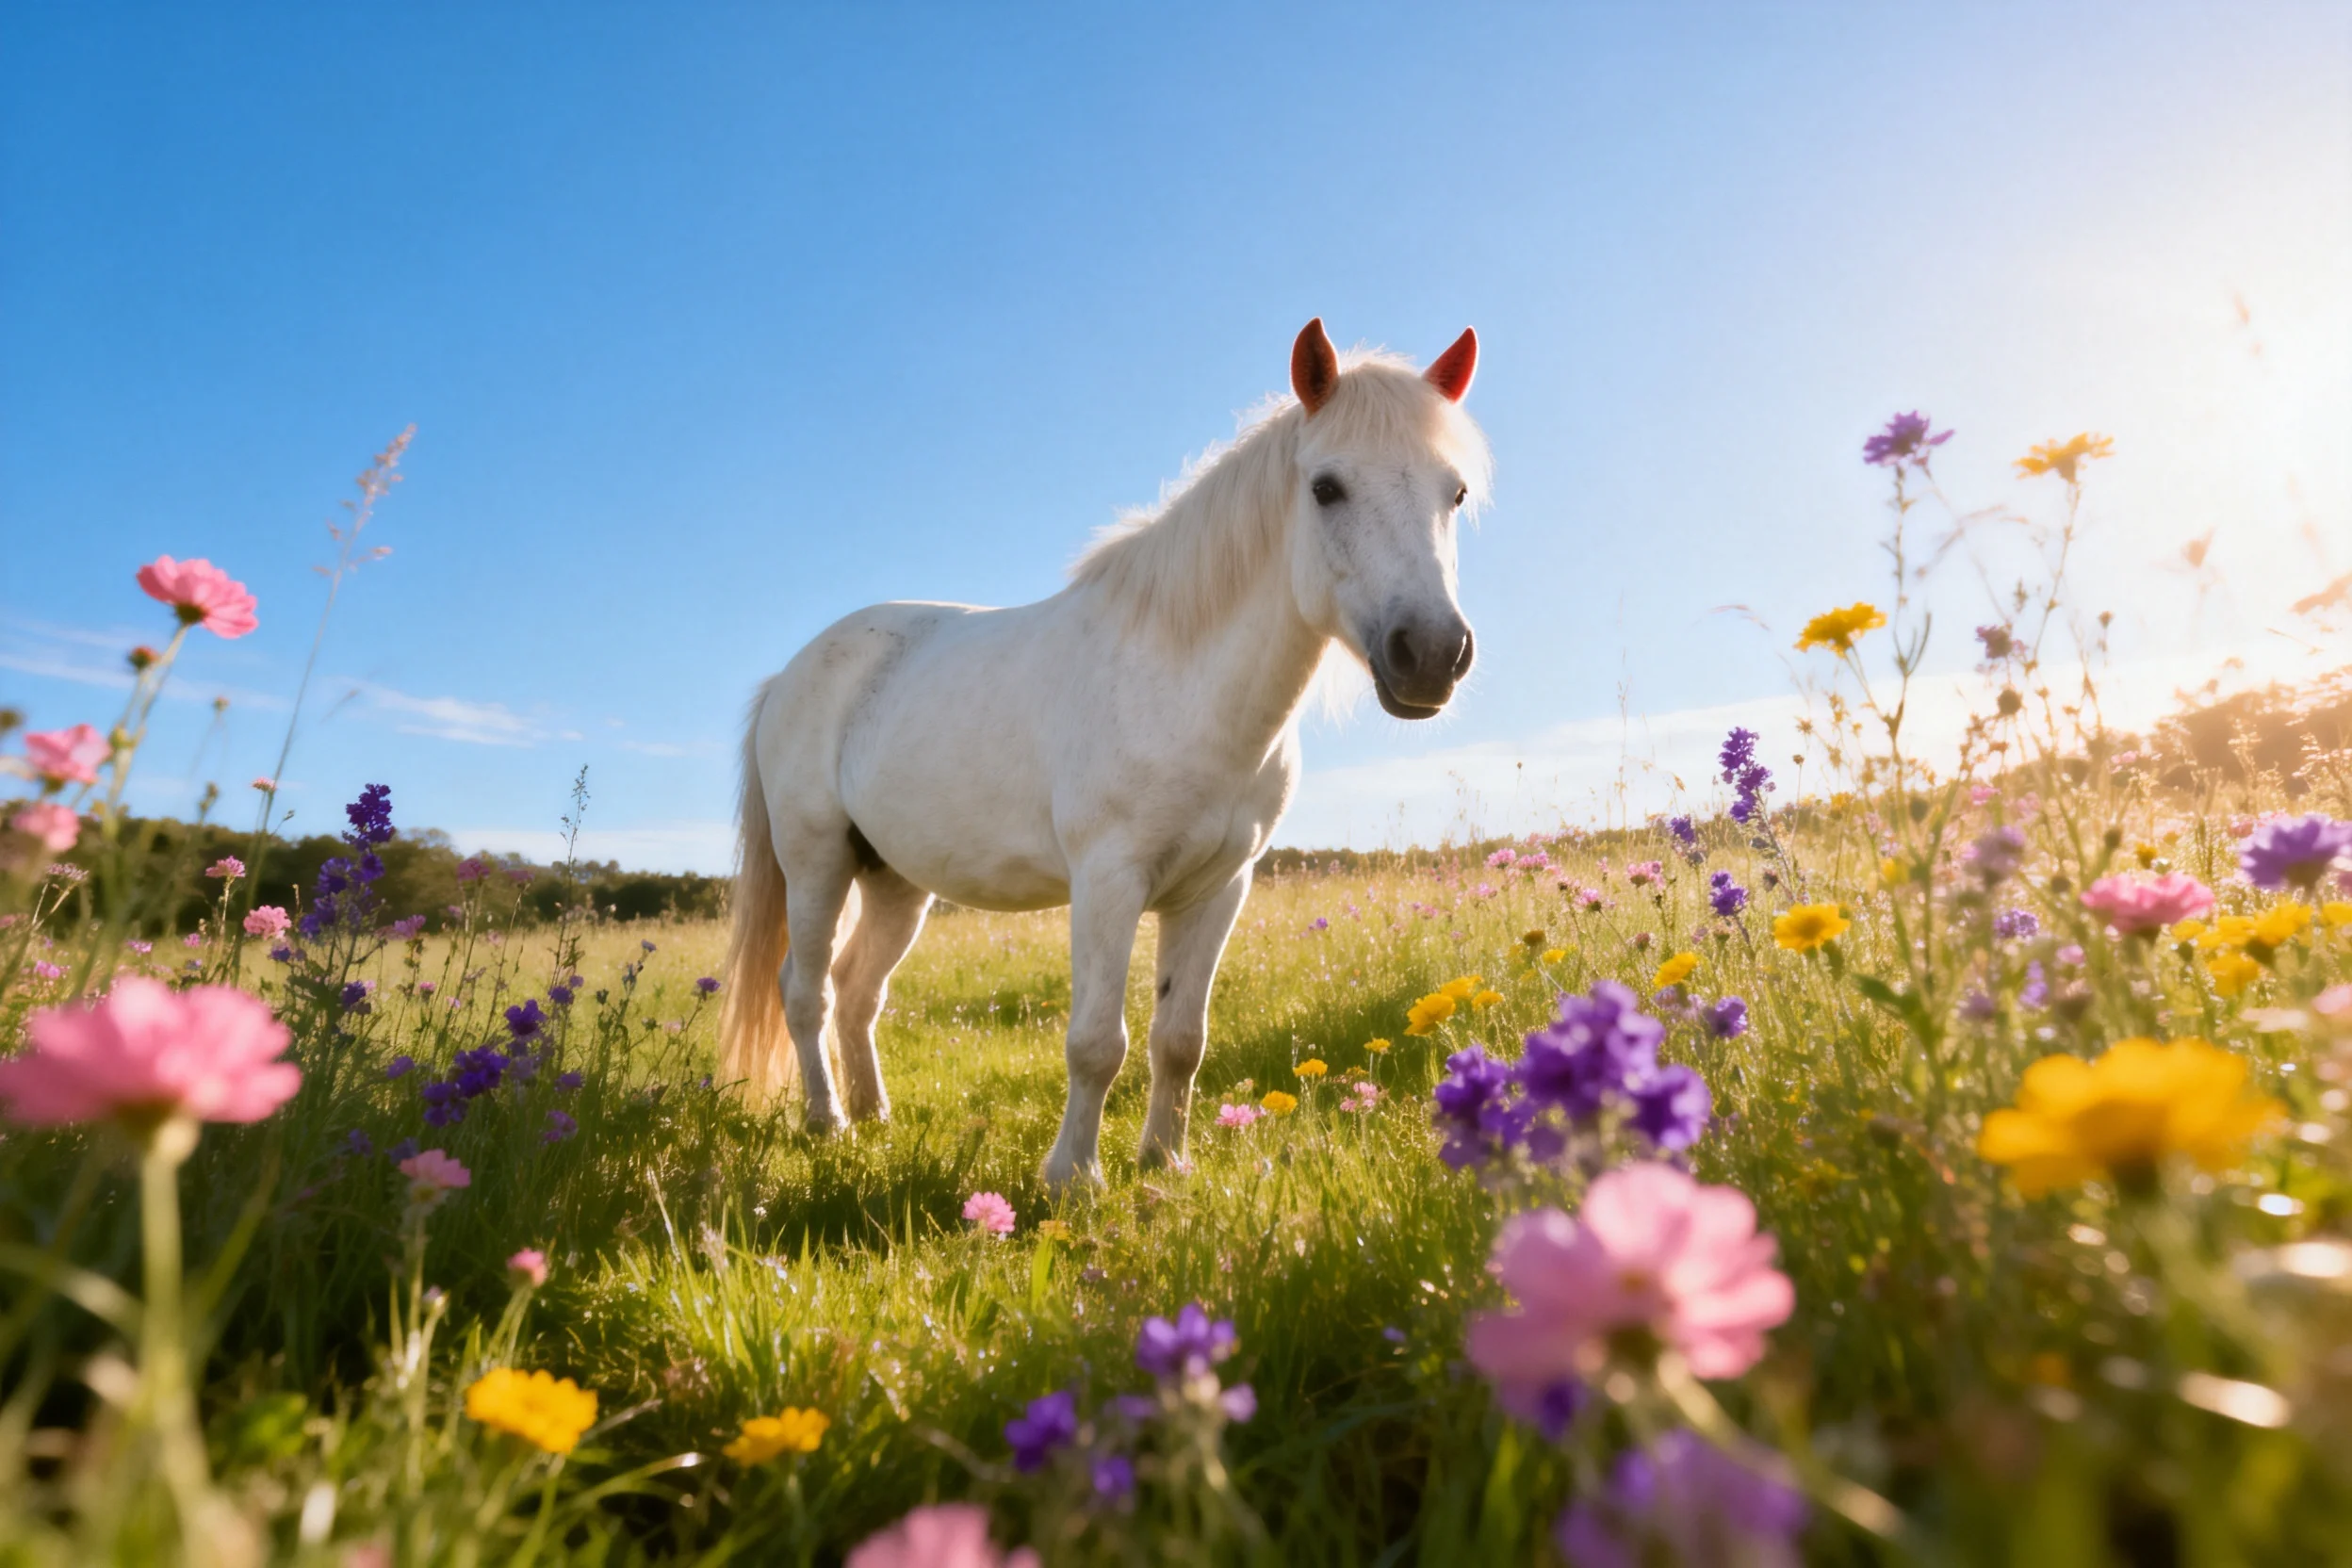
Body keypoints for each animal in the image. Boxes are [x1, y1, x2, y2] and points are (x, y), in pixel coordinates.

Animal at [719, 318, 1490, 1188]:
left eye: (1455, 494)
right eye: (1326, 487)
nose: (1431, 654)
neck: (1185, 684)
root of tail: (790, 674)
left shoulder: (1218, 890)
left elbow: (1179, 1040)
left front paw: (1166, 1162)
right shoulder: (1107, 882)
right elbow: (1095, 1043)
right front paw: (1073, 1178)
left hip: (894, 880)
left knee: (857, 992)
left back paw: (875, 1115)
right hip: (816, 861)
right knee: (805, 990)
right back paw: (830, 1124)